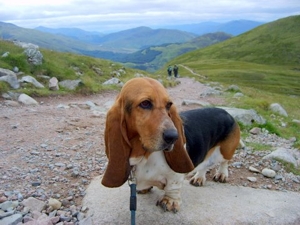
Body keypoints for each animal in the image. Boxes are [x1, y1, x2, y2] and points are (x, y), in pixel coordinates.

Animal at [102, 77, 240, 213]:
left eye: (169, 105)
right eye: (145, 103)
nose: (174, 137)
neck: (143, 155)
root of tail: (226, 112)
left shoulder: (175, 175)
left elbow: (173, 186)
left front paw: (170, 201)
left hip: (225, 151)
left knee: (224, 162)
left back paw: (221, 174)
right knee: (205, 164)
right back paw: (199, 177)